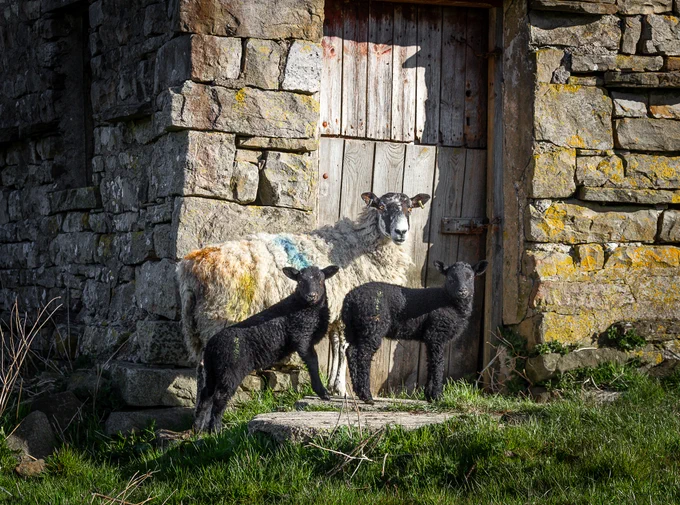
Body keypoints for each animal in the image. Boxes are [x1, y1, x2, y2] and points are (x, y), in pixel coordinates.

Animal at [177, 191, 431, 397]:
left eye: (409, 208)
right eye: (381, 207)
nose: (401, 232)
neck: (360, 246)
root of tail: (189, 268)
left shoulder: (337, 310)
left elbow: (336, 345)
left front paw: (333, 386)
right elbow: (344, 347)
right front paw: (341, 389)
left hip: (198, 324)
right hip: (217, 317)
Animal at [193, 265, 339, 433]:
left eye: (321, 280)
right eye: (301, 281)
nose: (311, 296)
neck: (305, 307)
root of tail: (211, 347)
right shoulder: (302, 335)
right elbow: (313, 362)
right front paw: (323, 393)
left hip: (213, 370)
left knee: (206, 395)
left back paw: (198, 429)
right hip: (230, 370)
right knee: (219, 397)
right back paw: (216, 430)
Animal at [343, 259, 488, 404]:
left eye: (470, 277)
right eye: (451, 278)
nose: (462, 291)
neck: (450, 302)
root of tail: (350, 298)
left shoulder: (431, 338)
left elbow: (431, 362)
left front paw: (429, 395)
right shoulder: (436, 334)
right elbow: (438, 364)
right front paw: (437, 396)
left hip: (356, 328)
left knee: (351, 351)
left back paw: (358, 391)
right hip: (373, 326)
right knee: (363, 355)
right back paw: (366, 395)